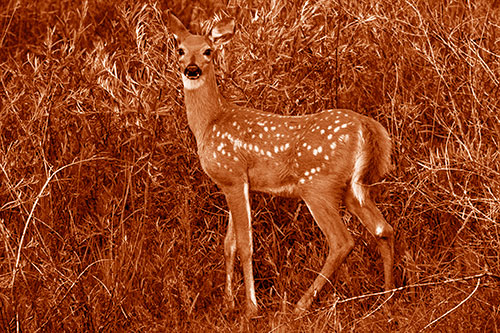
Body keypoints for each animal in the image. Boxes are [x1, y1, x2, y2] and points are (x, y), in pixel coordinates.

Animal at [168, 13, 394, 316]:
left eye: (208, 51)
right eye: (180, 49)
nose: (191, 70)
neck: (210, 122)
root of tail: (367, 127)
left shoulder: (232, 174)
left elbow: (245, 244)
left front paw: (250, 308)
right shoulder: (237, 183)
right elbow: (229, 244)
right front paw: (228, 302)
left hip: (317, 184)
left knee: (342, 241)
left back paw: (299, 307)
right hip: (354, 186)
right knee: (383, 229)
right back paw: (388, 298)